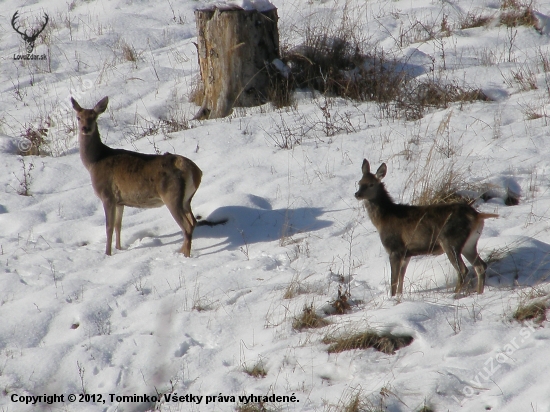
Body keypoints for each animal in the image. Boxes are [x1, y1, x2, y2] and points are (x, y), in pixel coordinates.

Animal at [71, 98, 203, 256]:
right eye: (79, 117)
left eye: (94, 117)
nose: (85, 128)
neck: (94, 162)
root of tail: (195, 171)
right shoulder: (120, 201)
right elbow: (118, 225)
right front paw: (119, 248)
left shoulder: (107, 195)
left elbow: (109, 227)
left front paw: (108, 254)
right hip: (186, 199)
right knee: (193, 222)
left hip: (172, 195)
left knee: (187, 226)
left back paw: (184, 255)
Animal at [358, 159, 500, 296]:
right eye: (359, 183)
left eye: (371, 184)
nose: (357, 194)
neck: (384, 218)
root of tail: (477, 215)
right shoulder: (407, 253)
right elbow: (401, 280)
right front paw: (399, 298)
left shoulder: (395, 249)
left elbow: (394, 281)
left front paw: (392, 298)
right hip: (469, 243)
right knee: (480, 266)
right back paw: (479, 293)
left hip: (450, 241)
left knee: (463, 270)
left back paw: (454, 295)